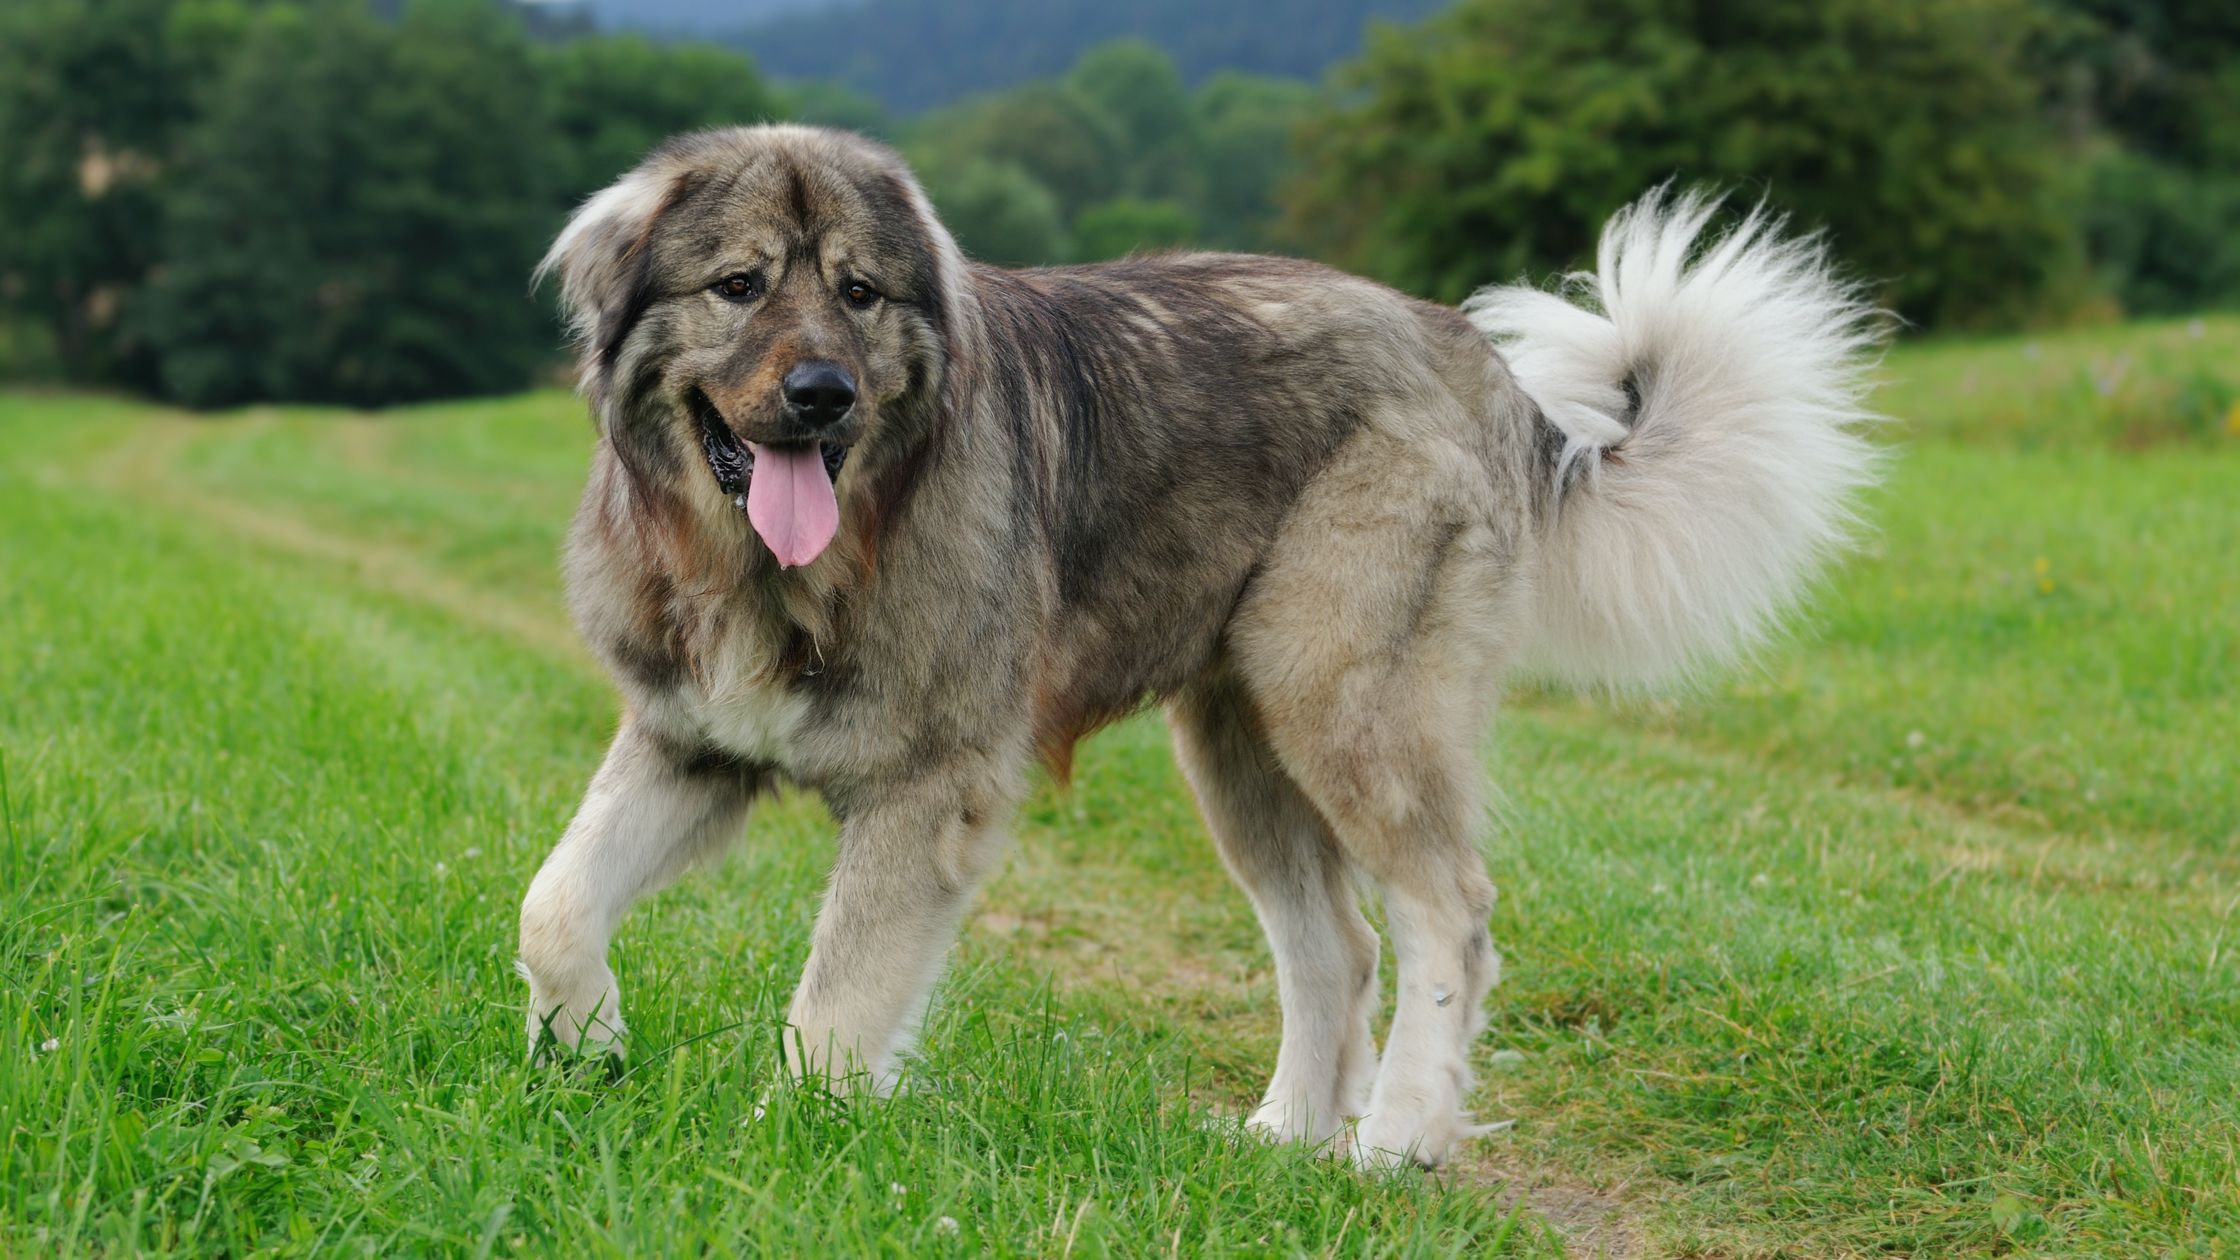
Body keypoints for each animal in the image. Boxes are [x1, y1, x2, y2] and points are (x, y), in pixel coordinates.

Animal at [515, 122, 1881, 1165]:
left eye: (858, 293)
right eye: (738, 285)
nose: (821, 396)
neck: (778, 569)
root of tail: (1479, 367)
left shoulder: (923, 793)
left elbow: (835, 1001)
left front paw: (788, 1140)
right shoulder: (688, 746)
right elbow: (555, 903)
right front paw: (585, 1049)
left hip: (1343, 703)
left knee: (1446, 910)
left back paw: (1396, 1141)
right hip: (1239, 744)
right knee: (1334, 947)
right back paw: (1284, 1142)